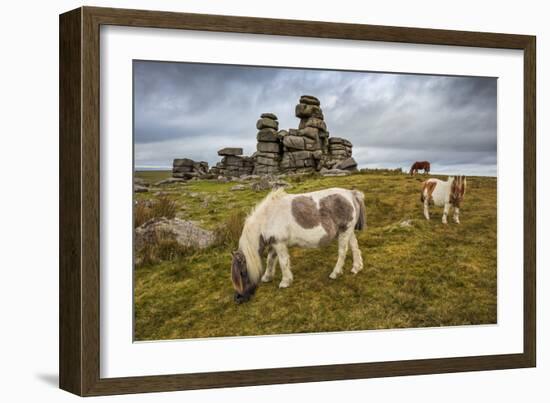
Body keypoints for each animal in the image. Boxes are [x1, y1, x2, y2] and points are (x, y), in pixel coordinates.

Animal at [231, 188, 368, 304]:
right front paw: (267, 277)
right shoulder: (274, 244)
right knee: (355, 248)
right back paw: (356, 268)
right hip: (348, 231)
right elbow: (270, 260)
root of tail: (351, 194)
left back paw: (335, 273)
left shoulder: (279, 244)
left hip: (345, 231)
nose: (238, 298)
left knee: (342, 252)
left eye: (242, 273)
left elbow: (283, 262)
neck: (268, 217)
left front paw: (285, 281)